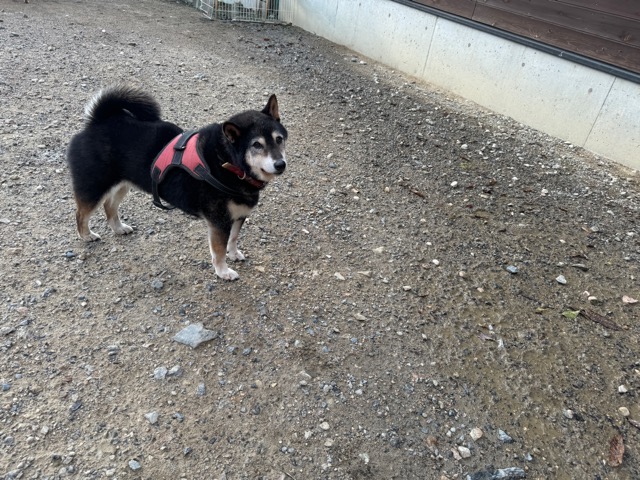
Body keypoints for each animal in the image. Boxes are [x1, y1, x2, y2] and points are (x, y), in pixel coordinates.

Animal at [66, 85, 287, 280]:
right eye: (256, 145)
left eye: (279, 139)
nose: (280, 164)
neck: (228, 162)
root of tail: (97, 121)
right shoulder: (219, 222)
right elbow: (219, 251)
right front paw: (223, 271)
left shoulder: (238, 216)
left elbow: (232, 240)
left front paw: (233, 254)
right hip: (94, 186)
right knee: (81, 213)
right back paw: (86, 235)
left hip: (123, 183)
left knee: (109, 205)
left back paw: (118, 228)